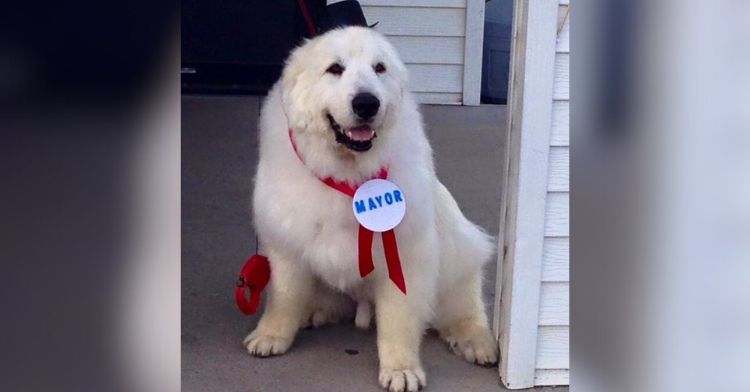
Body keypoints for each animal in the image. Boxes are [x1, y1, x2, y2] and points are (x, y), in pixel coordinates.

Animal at [245, 26, 500, 390]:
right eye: (335, 69)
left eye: (379, 68)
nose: (367, 103)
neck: (348, 175)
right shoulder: (286, 245)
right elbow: (284, 296)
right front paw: (271, 335)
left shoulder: (405, 257)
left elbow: (399, 321)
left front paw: (400, 368)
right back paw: (311, 313)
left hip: (458, 256)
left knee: (463, 306)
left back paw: (475, 340)